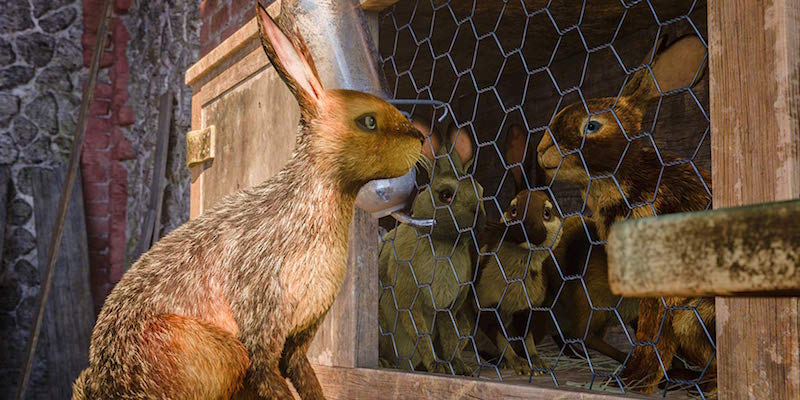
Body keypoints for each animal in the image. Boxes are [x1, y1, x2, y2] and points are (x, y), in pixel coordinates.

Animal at [73, 3, 424, 400]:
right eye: (368, 121)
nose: (420, 139)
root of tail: (105, 385)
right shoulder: (261, 329)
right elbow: (269, 377)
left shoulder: (298, 342)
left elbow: (307, 379)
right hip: (220, 350)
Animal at [378, 117, 484, 374]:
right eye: (445, 195)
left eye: (481, 191)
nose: (479, 216)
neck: (443, 245)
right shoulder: (408, 300)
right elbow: (421, 333)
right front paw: (437, 366)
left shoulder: (449, 309)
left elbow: (447, 337)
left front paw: (455, 367)